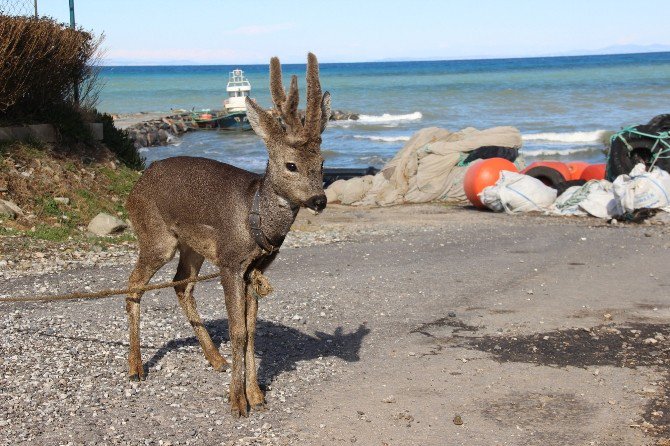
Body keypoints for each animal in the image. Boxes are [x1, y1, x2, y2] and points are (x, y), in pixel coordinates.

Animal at [125, 54, 330, 416]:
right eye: (291, 165)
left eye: (321, 163)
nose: (319, 200)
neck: (256, 217)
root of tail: (135, 186)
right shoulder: (230, 263)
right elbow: (237, 331)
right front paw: (237, 401)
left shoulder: (254, 270)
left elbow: (250, 331)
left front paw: (256, 395)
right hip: (156, 236)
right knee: (133, 286)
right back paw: (136, 367)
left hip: (191, 246)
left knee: (181, 284)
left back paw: (216, 359)